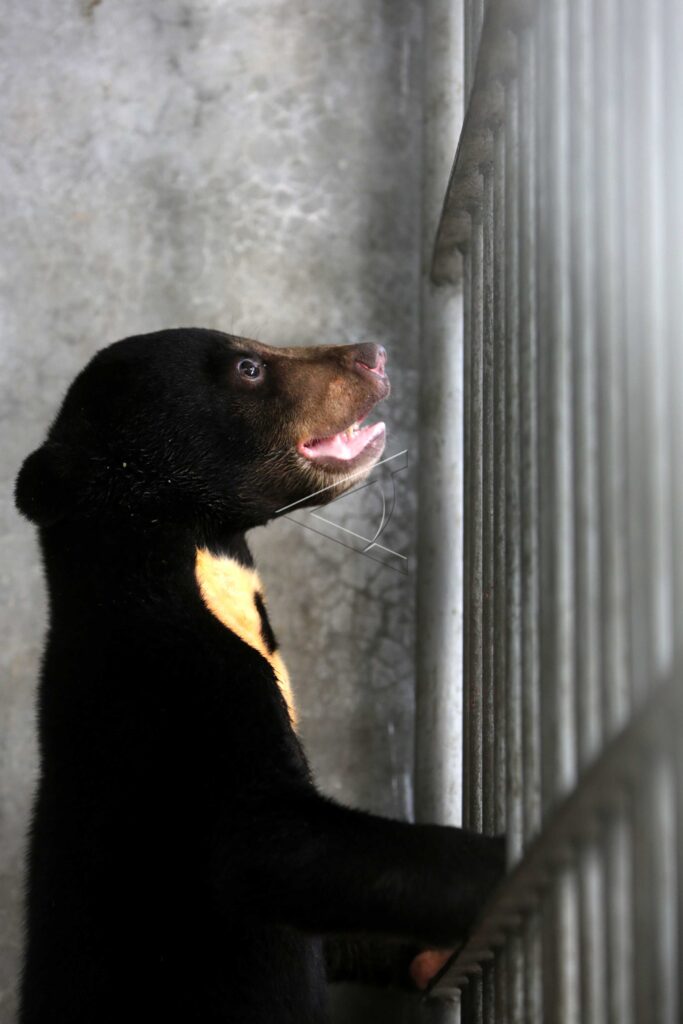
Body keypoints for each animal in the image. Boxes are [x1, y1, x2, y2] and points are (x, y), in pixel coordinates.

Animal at [15, 328, 504, 1023]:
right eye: (249, 368)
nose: (374, 354)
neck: (195, 562)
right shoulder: (176, 691)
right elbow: (272, 848)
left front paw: (425, 955)